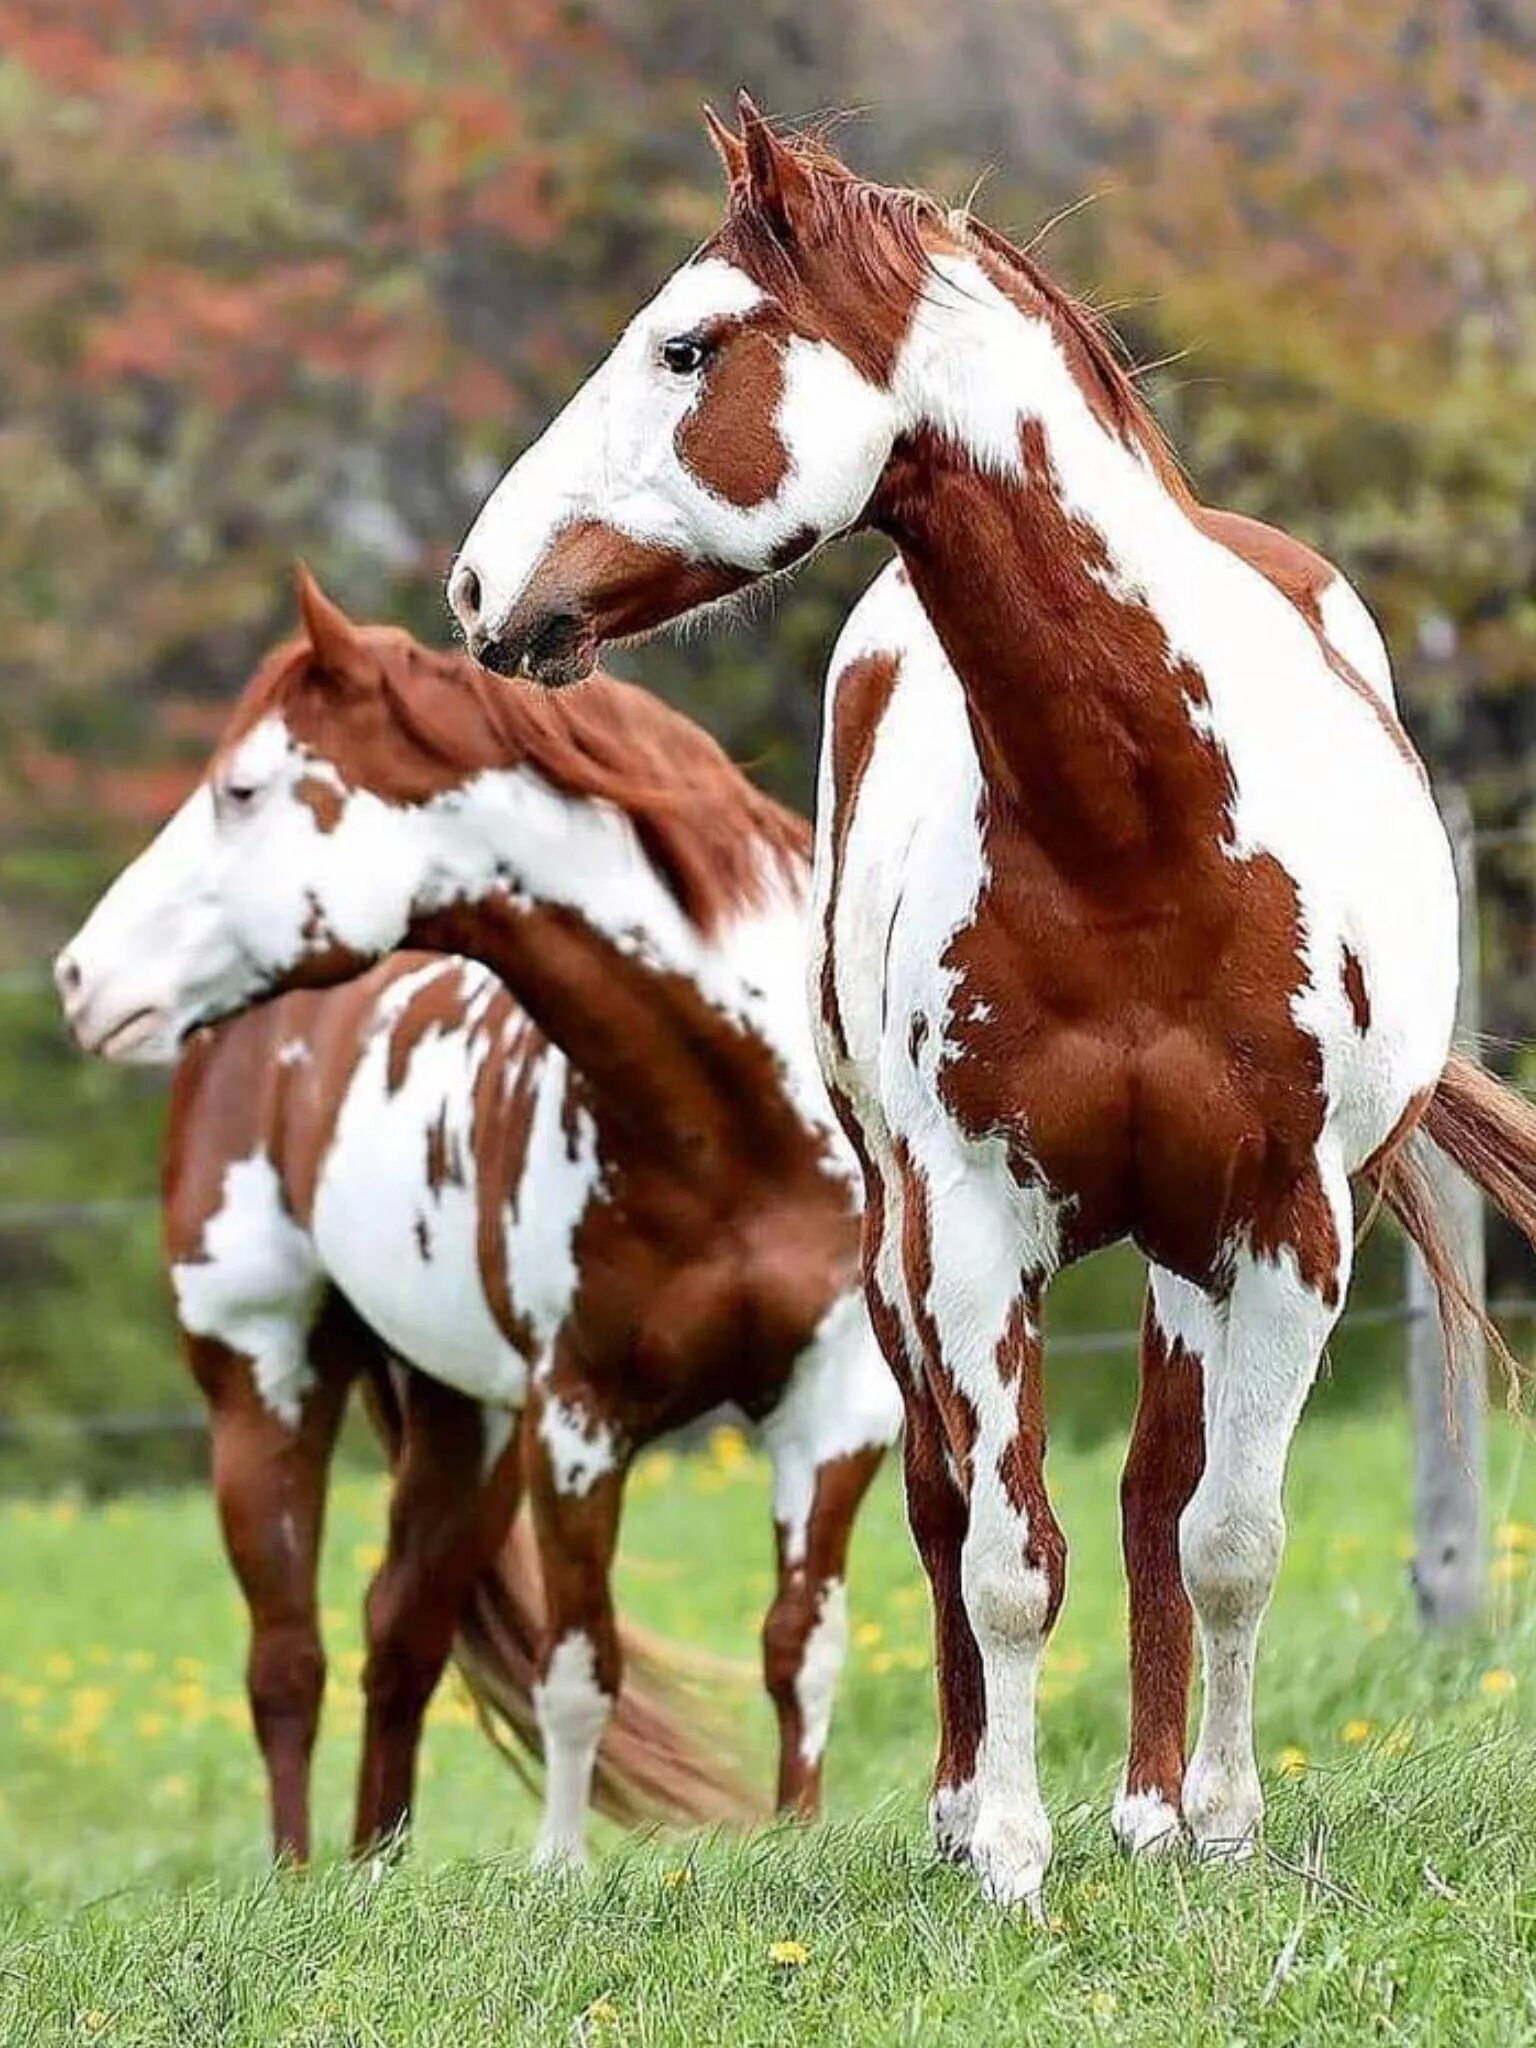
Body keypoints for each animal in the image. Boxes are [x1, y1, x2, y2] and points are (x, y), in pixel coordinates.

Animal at [57, 577, 901, 1875]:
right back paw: (297, 1878)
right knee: (287, 1658)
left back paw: (374, 1871)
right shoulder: (580, 1421)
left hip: (466, 1420)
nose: (79, 979)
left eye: (241, 789)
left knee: (399, 1630)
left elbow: (799, 1647)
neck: (731, 1128)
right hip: (264, 1379)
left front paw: (797, 1835)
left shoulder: (836, 1409)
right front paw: (561, 1874)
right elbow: (579, 1667)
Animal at [442, 103, 1536, 1908]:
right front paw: (1012, 1851)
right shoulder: (965, 1221)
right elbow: (1008, 1554)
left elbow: (1226, 1538)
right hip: (900, 1246)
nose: (477, 588)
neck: (1138, 835)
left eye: (686, 347)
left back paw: (1152, 1806)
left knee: (1162, 1495)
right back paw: (970, 1808)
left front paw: (1217, 1827)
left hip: (1182, 1254)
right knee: (946, 1507)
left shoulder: (1288, 1227)